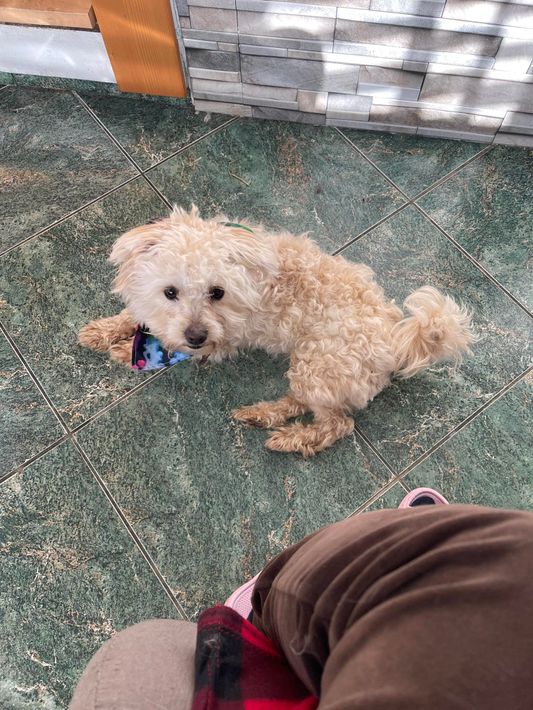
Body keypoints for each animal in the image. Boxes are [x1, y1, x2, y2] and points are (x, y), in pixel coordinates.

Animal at [79, 206, 474, 456]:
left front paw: (128, 351)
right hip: (314, 370)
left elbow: (172, 345)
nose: (196, 336)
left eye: (217, 292)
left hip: (319, 365)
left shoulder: (224, 337)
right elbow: (136, 315)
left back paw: (291, 439)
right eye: (170, 292)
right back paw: (260, 415)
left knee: (336, 423)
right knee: (302, 403)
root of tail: (394, 335)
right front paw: (103, 331)